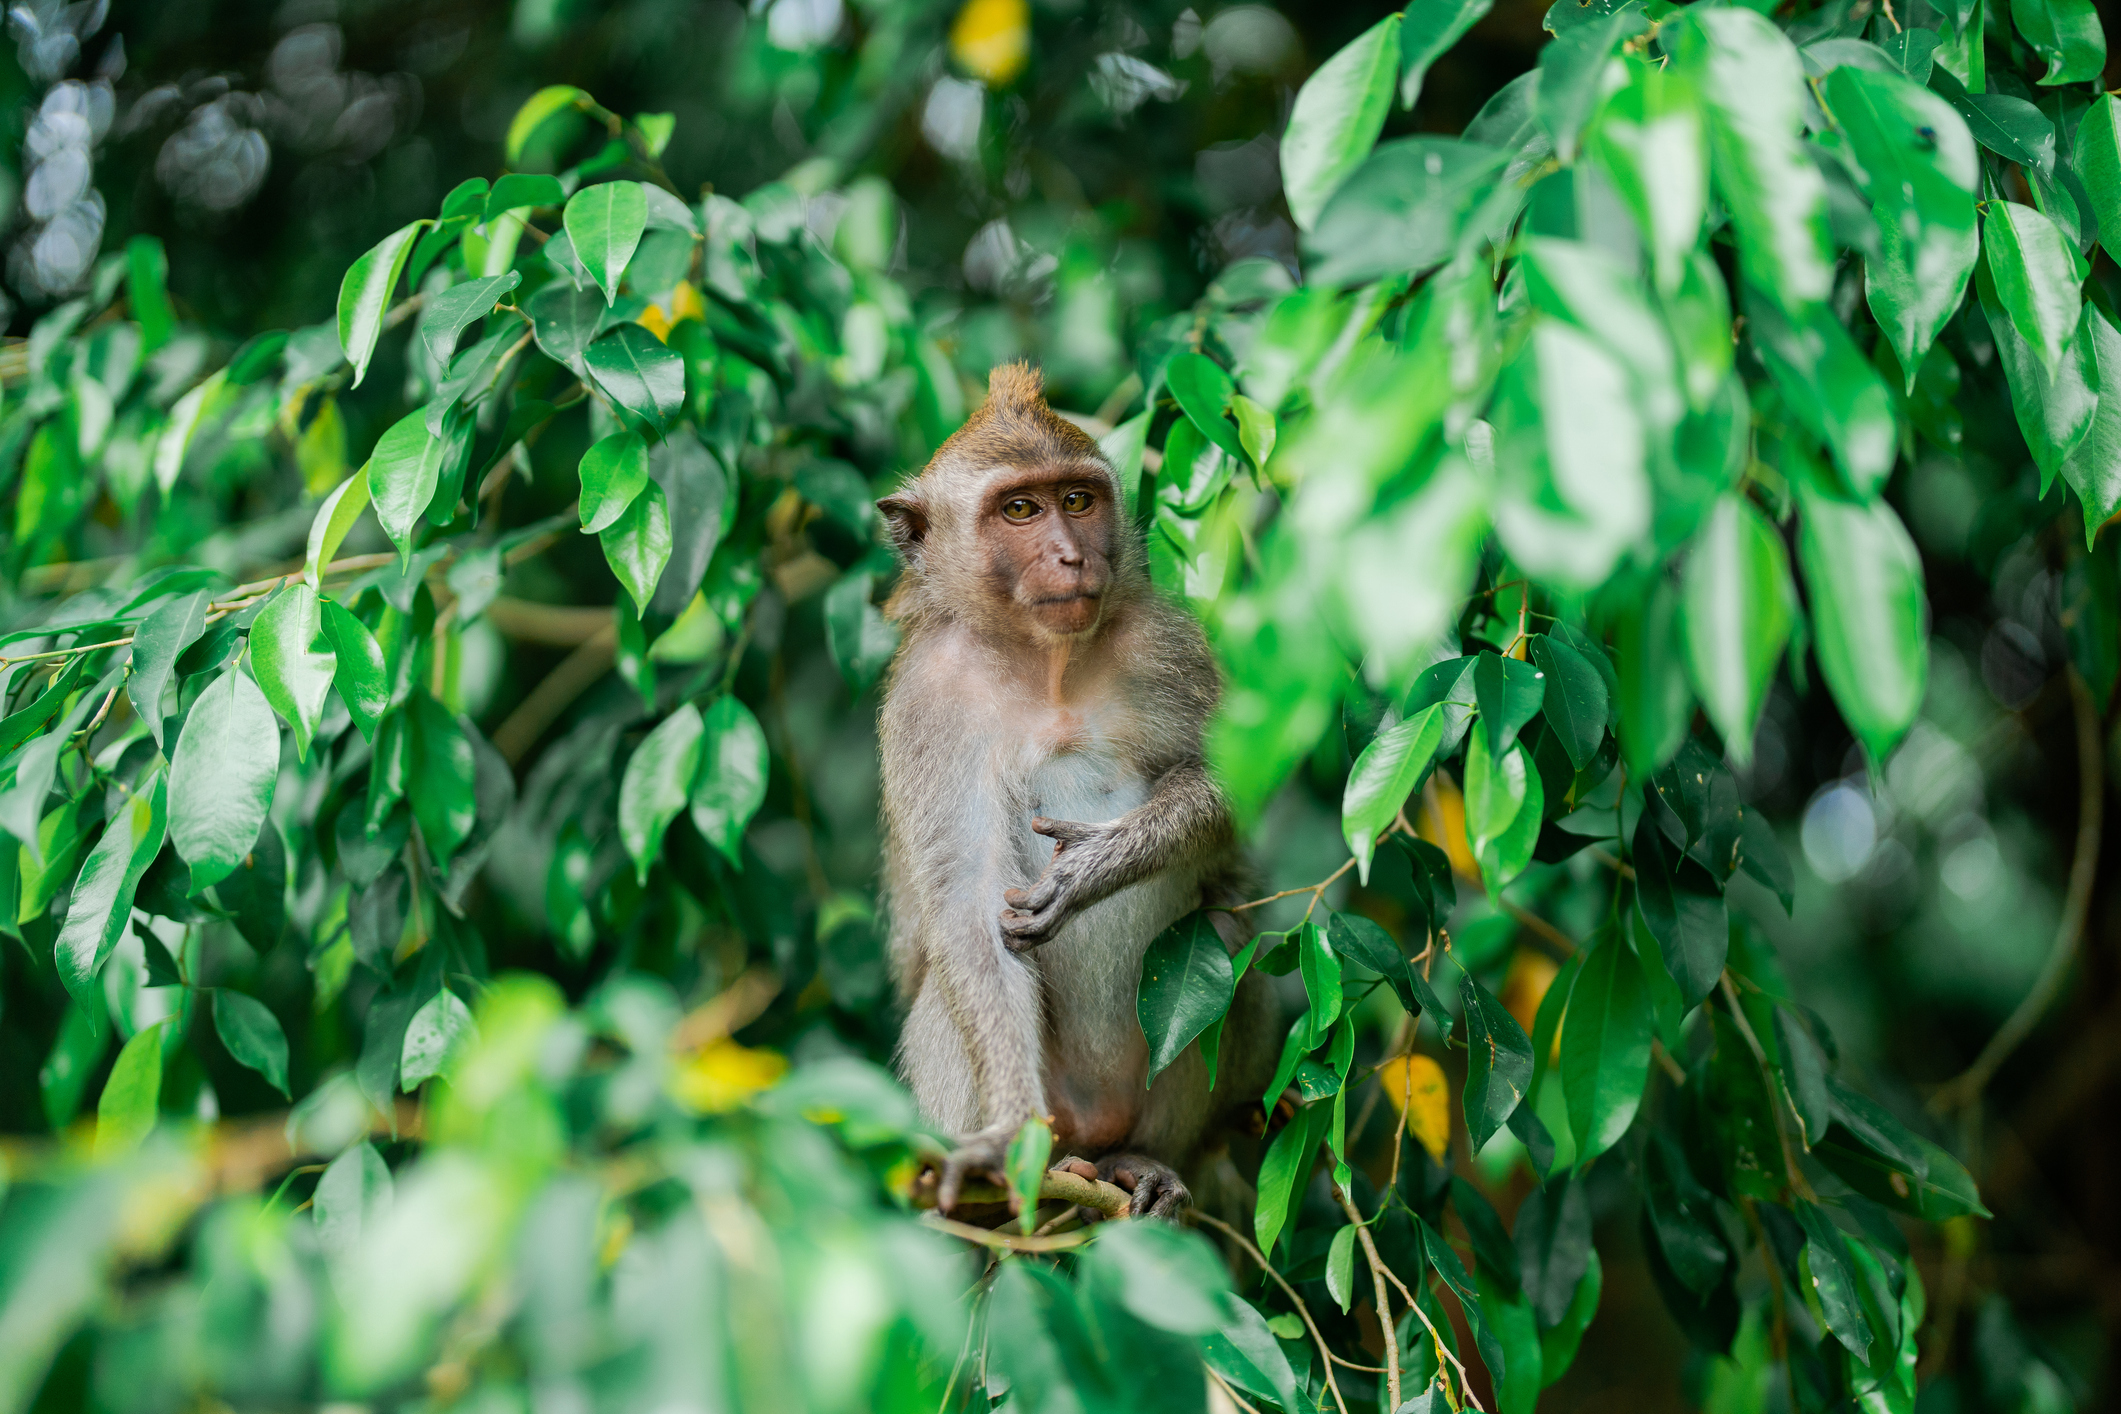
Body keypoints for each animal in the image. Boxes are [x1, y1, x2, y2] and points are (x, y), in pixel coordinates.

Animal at [874, 362, 1275, 1220]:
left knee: (1225, 934)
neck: (1043, 662)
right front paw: (1005, 1139)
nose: (1068, 556)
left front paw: (1095, 866)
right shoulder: (929, 702)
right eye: (1019, 510)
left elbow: (1236, 784)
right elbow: (969, 906)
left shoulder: (1163, 640)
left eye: (1078, 500)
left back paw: (1142, 1161)